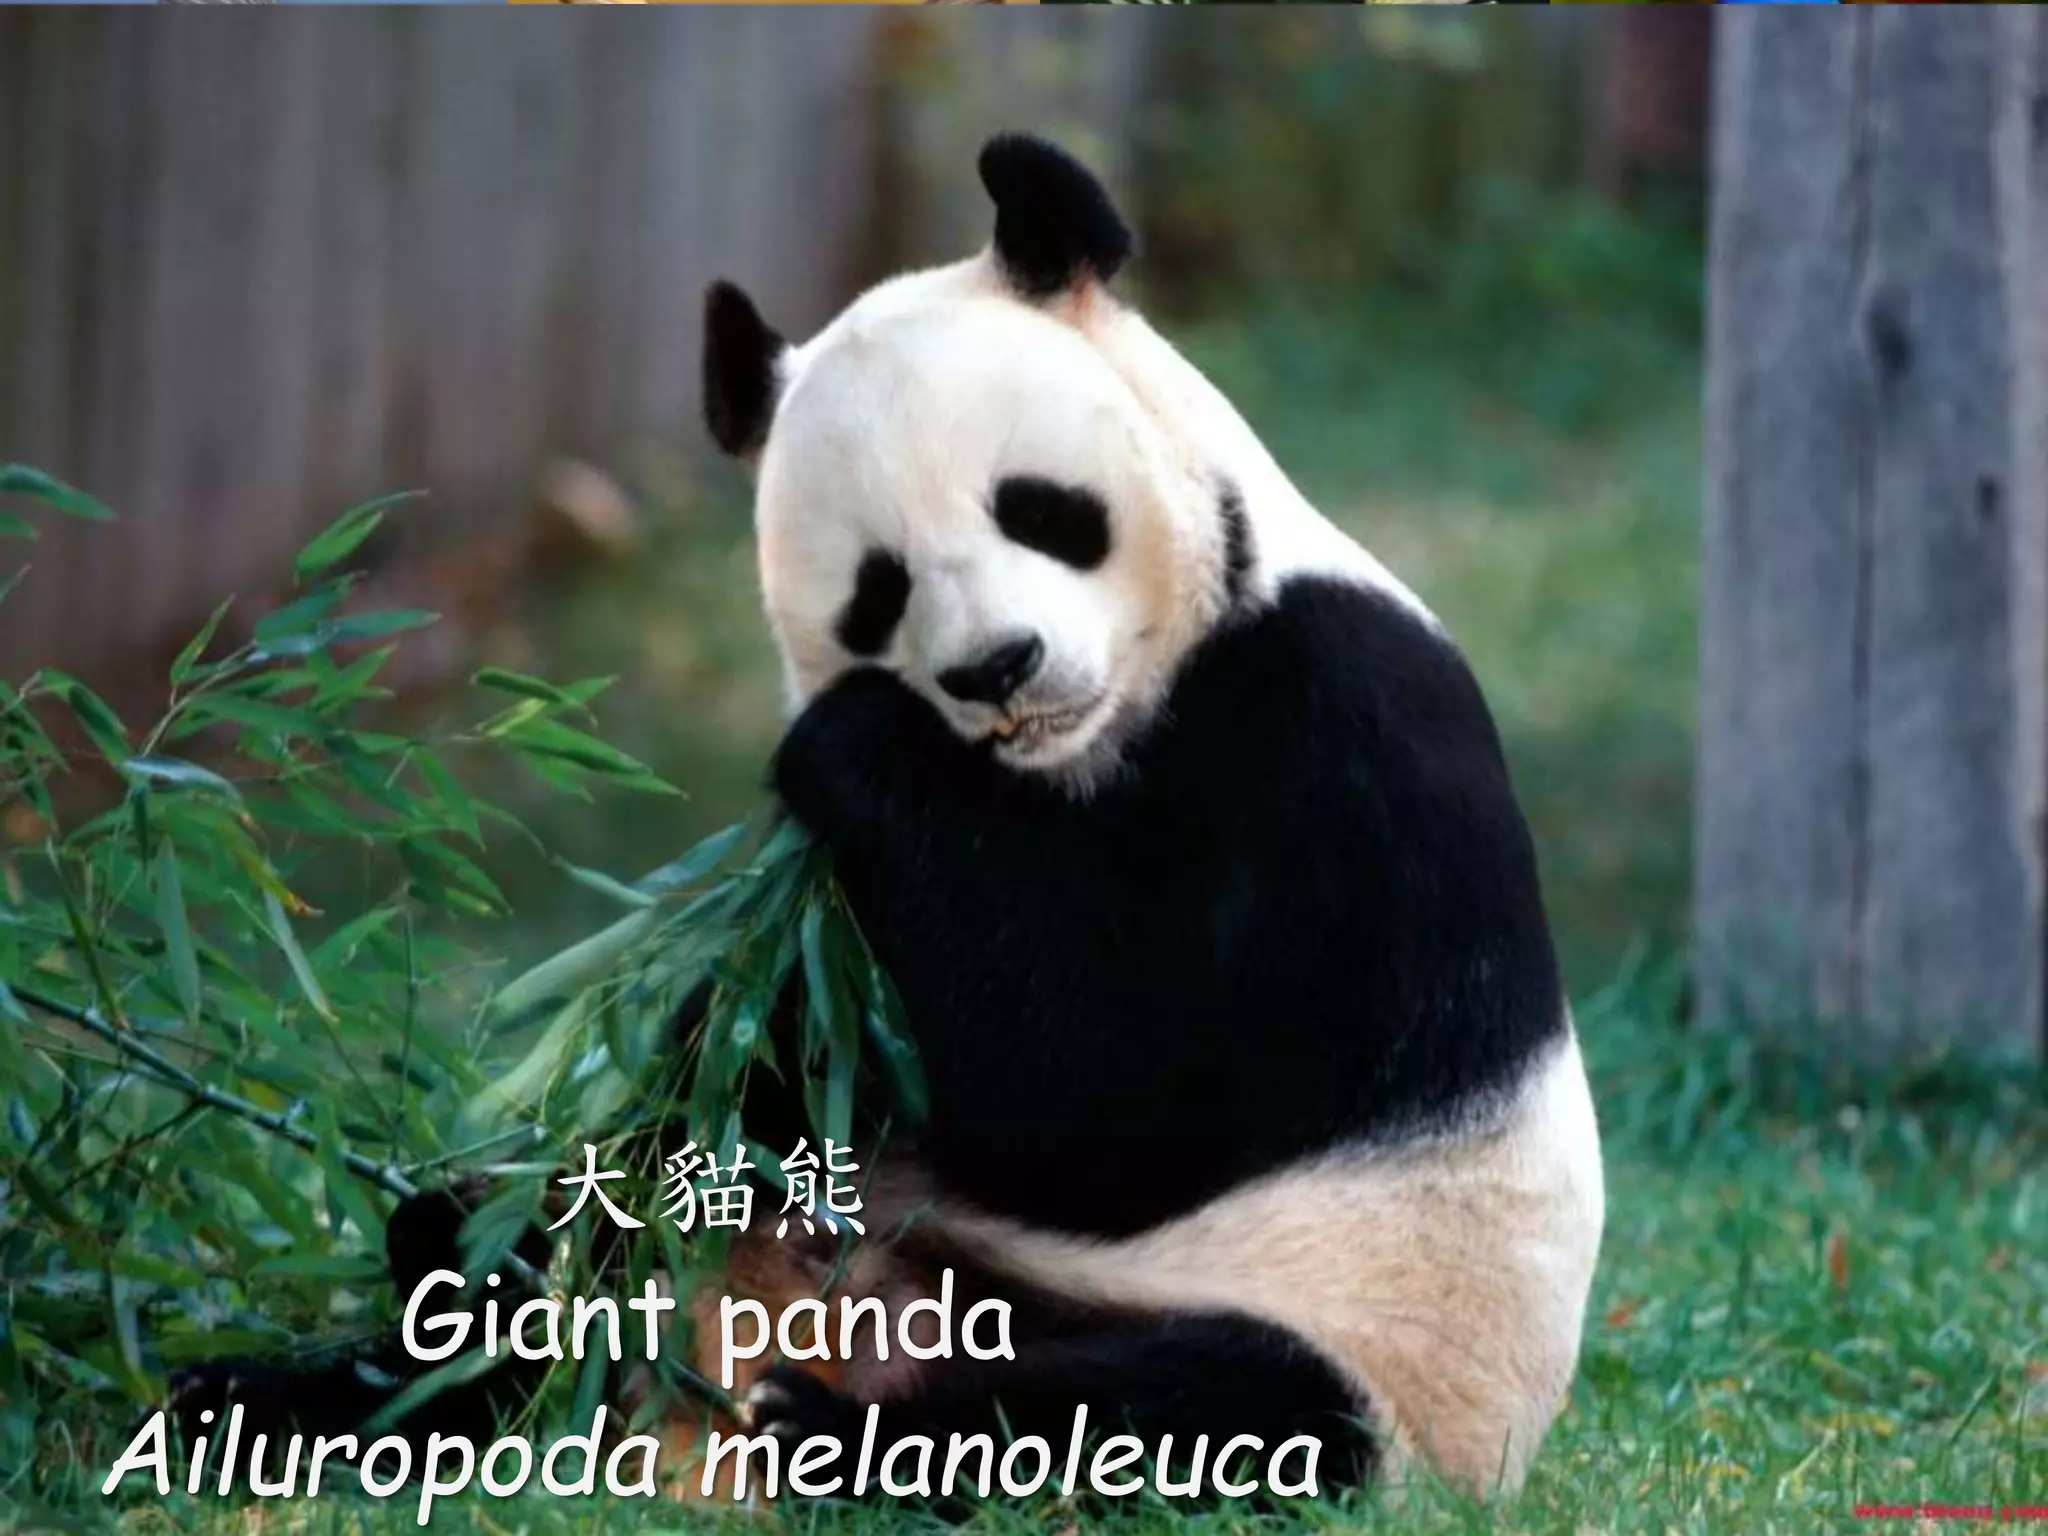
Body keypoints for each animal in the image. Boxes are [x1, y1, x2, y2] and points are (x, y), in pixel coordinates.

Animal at [167, 132, 1602, 1503]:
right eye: (877, 590)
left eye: (1039, 509)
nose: (997, 669)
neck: (1078, 754)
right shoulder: (849, 935)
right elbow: (773, 1050)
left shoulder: (1335, 739)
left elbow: (1117, 1096)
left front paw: (854, 740)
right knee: (555, 1286)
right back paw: (322, 1371)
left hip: (1360, 1347)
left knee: (1195, 1413)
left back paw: (836, 1438)